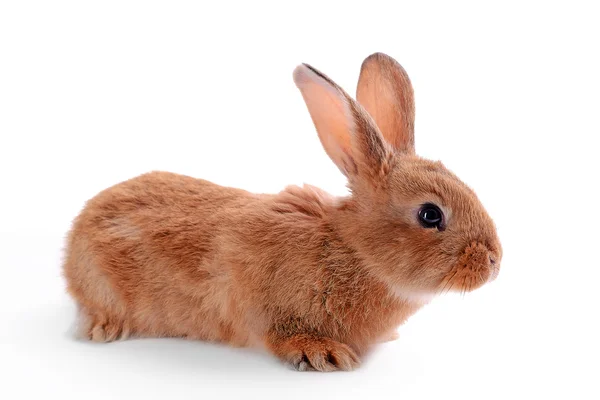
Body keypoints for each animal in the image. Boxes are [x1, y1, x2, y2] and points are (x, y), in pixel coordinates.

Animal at [63, 52, 502, 372]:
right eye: (430, 215)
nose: (494, 261)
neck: (355, 252)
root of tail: (72, 242)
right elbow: (282, 335)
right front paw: (323, 353)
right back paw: (105, 328)